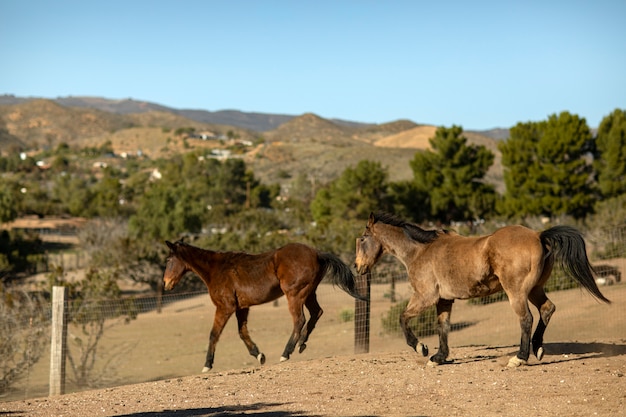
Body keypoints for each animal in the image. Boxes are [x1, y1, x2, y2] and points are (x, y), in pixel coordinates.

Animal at [163, 239, 364, 372]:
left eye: (168, 260)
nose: (166, 284)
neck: (216, 270)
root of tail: (316, 253)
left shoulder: (224, 308)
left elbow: (214, 334)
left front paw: (207, 365)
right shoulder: (242, 308)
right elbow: (242, 332)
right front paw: (259, 355)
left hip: (295, 295)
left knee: (299, 320)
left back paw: (286, 352)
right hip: (309, 293)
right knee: (316, 313)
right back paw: (301, 343)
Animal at [354, 213, 608, 366]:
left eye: (363, 238)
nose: (357, 267)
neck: (420, 251)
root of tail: (538, 235)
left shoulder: (425, 297)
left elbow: (403, 318)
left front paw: (422, 349)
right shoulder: (444, 300)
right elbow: (442, 327)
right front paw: (439, 357)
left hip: (517, 293)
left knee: (526, 318)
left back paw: (519, 358)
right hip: (535, 289)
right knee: (547, 309)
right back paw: (537, 349)